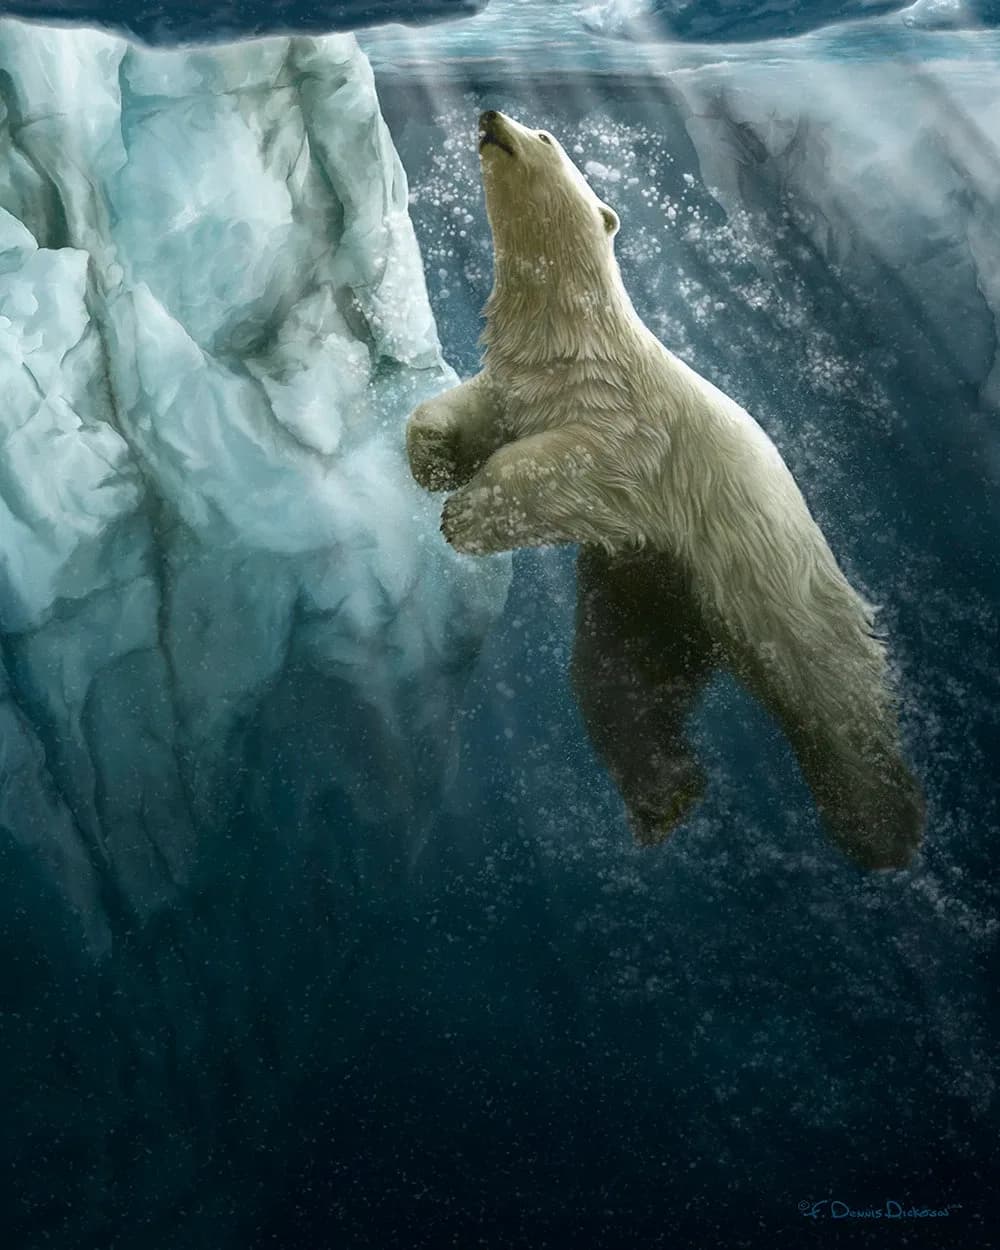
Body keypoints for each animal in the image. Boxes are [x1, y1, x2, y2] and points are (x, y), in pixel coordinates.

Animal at [406, 109, 924, 870]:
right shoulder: (524, 389)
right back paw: (666, 797)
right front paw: (432, 459)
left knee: (831, 687)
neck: (575, 339)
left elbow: (567, 465)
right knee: (621, 684)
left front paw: (465, 515)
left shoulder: (627, 427)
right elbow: (469, 413)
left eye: (547, 136)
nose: (491, 116)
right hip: (649, 589)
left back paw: (883, 825)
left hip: (768, 572)